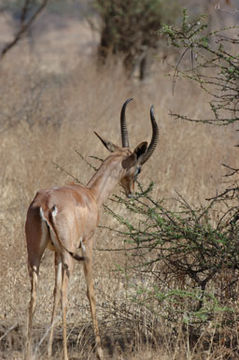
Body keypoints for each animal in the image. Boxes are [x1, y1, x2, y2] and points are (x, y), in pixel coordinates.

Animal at [24, 98, 159, 360]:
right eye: (138, 168)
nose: (132, 192)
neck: (91, 194)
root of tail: (45, 204)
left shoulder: (55, 253)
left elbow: (53, 293)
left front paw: (48, 350)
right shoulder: (87, 244)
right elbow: (90, 291)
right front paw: (100, 351)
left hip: (35, 254)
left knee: (34, 297)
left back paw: (28, 353)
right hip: (69, 256)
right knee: (66, 296)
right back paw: (66, 354)